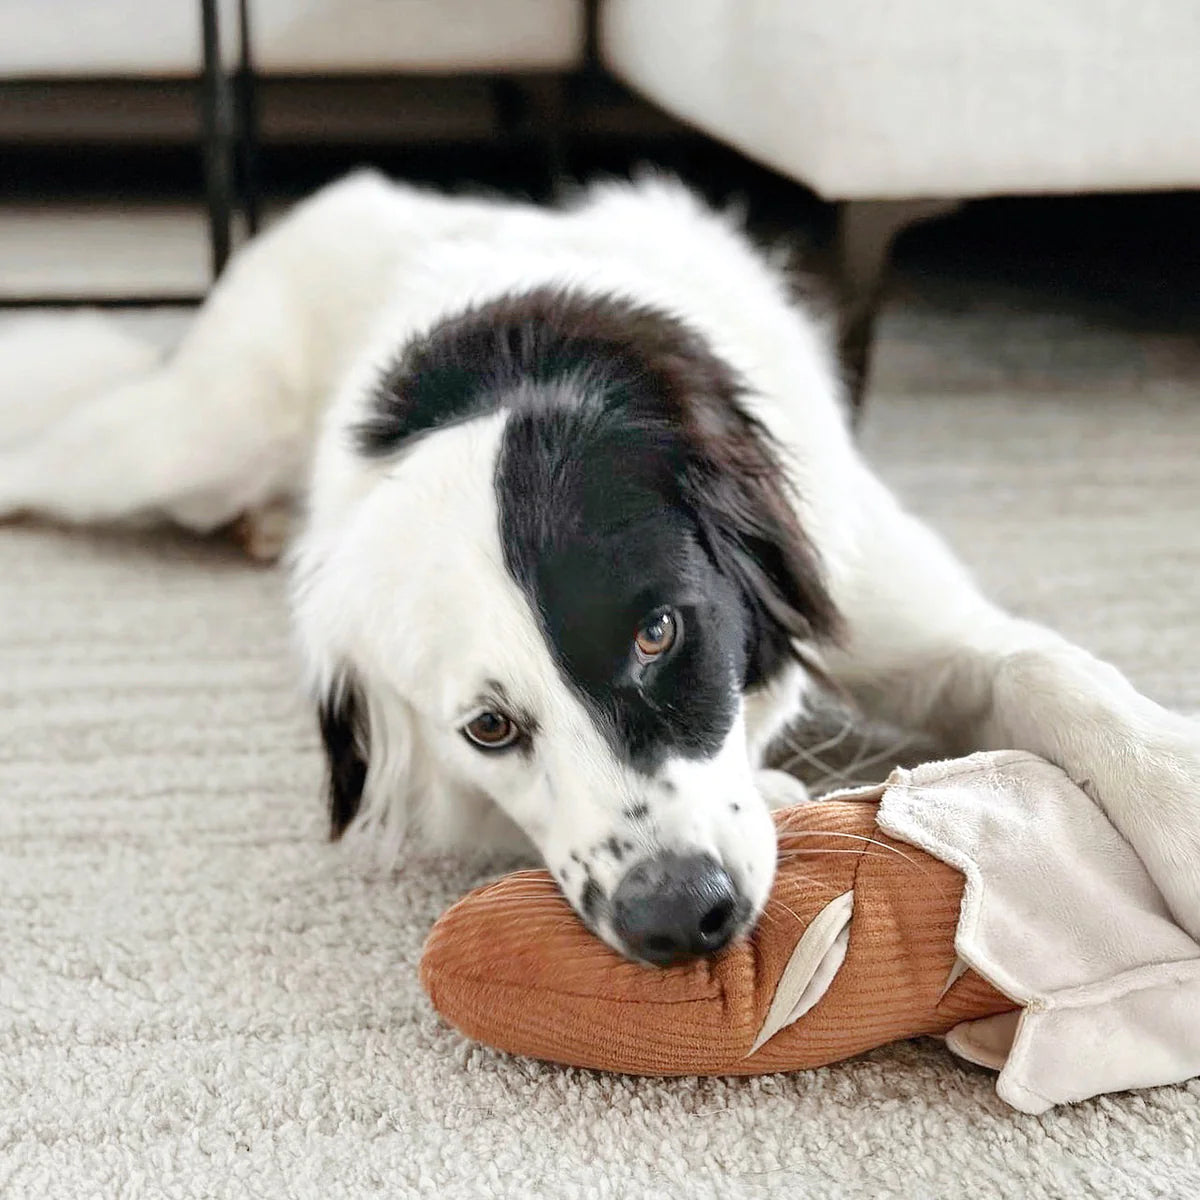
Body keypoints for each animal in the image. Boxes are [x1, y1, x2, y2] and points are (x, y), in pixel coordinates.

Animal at [2, 174, 1200, 964]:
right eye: (490, 727)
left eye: (659, 633)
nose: (680, 919)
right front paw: (780, 791)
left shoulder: (896, 603)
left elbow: (1056, 674)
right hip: (188, 442)